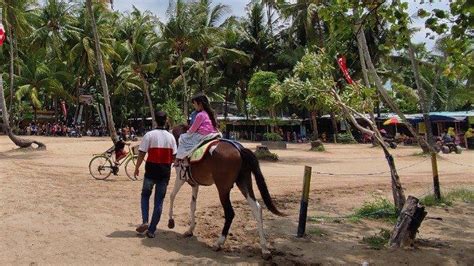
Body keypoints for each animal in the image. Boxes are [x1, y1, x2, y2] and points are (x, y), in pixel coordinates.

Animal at [168, 125, 286, 260]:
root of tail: (240, 149)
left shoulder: (180, 178)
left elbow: (172, 196)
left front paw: (171, 221)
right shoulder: (195, 184)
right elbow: (192, 205)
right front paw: (190, 230)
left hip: (223, 189)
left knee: (230, 213)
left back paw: (219, 243)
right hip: (244, 182)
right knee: (257, 208)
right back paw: (264, 249)